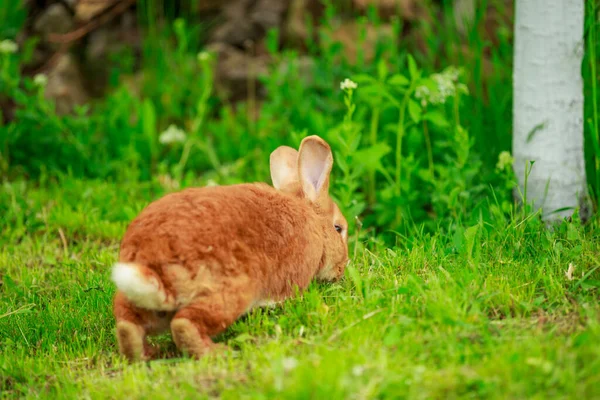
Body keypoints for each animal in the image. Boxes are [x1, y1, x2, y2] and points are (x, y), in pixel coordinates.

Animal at [110, 136, 350, 360]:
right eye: (338, 228)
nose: (342, 268)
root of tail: (153, 260)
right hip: (229, 293)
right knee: (185, 324)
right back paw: (219, 352)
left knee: (128, 325)